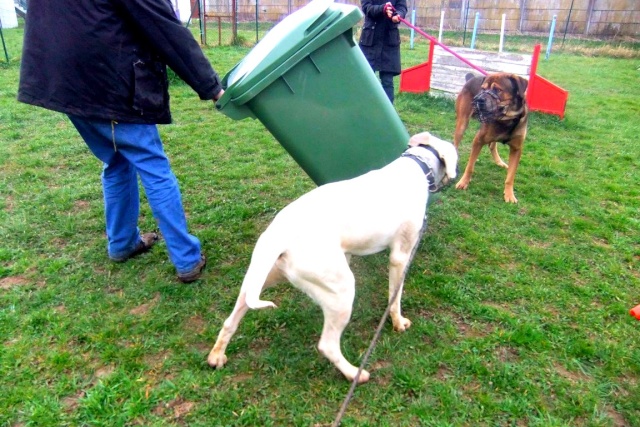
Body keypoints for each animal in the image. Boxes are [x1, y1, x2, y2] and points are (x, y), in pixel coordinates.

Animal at [208, 133, 458, 384]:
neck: (418, 165)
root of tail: (279, 235)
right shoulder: (400, 256)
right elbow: (394, 299)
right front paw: (398, 323)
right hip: (342, 293)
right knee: (327, 345)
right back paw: (354, 373)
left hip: (258, 280)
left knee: (230, 321)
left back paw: (216, 357)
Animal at [456, 72, 528, 203]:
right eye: (483, 89)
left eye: (498, 90)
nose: (478, 99)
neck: (507, 120)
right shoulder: (478, 140)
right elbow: (470, 166)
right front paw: (463, 182)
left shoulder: (516, 149)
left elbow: (510, 177)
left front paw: (509, 194)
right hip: (462, 124)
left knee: (492, 145)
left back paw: (499, 162)